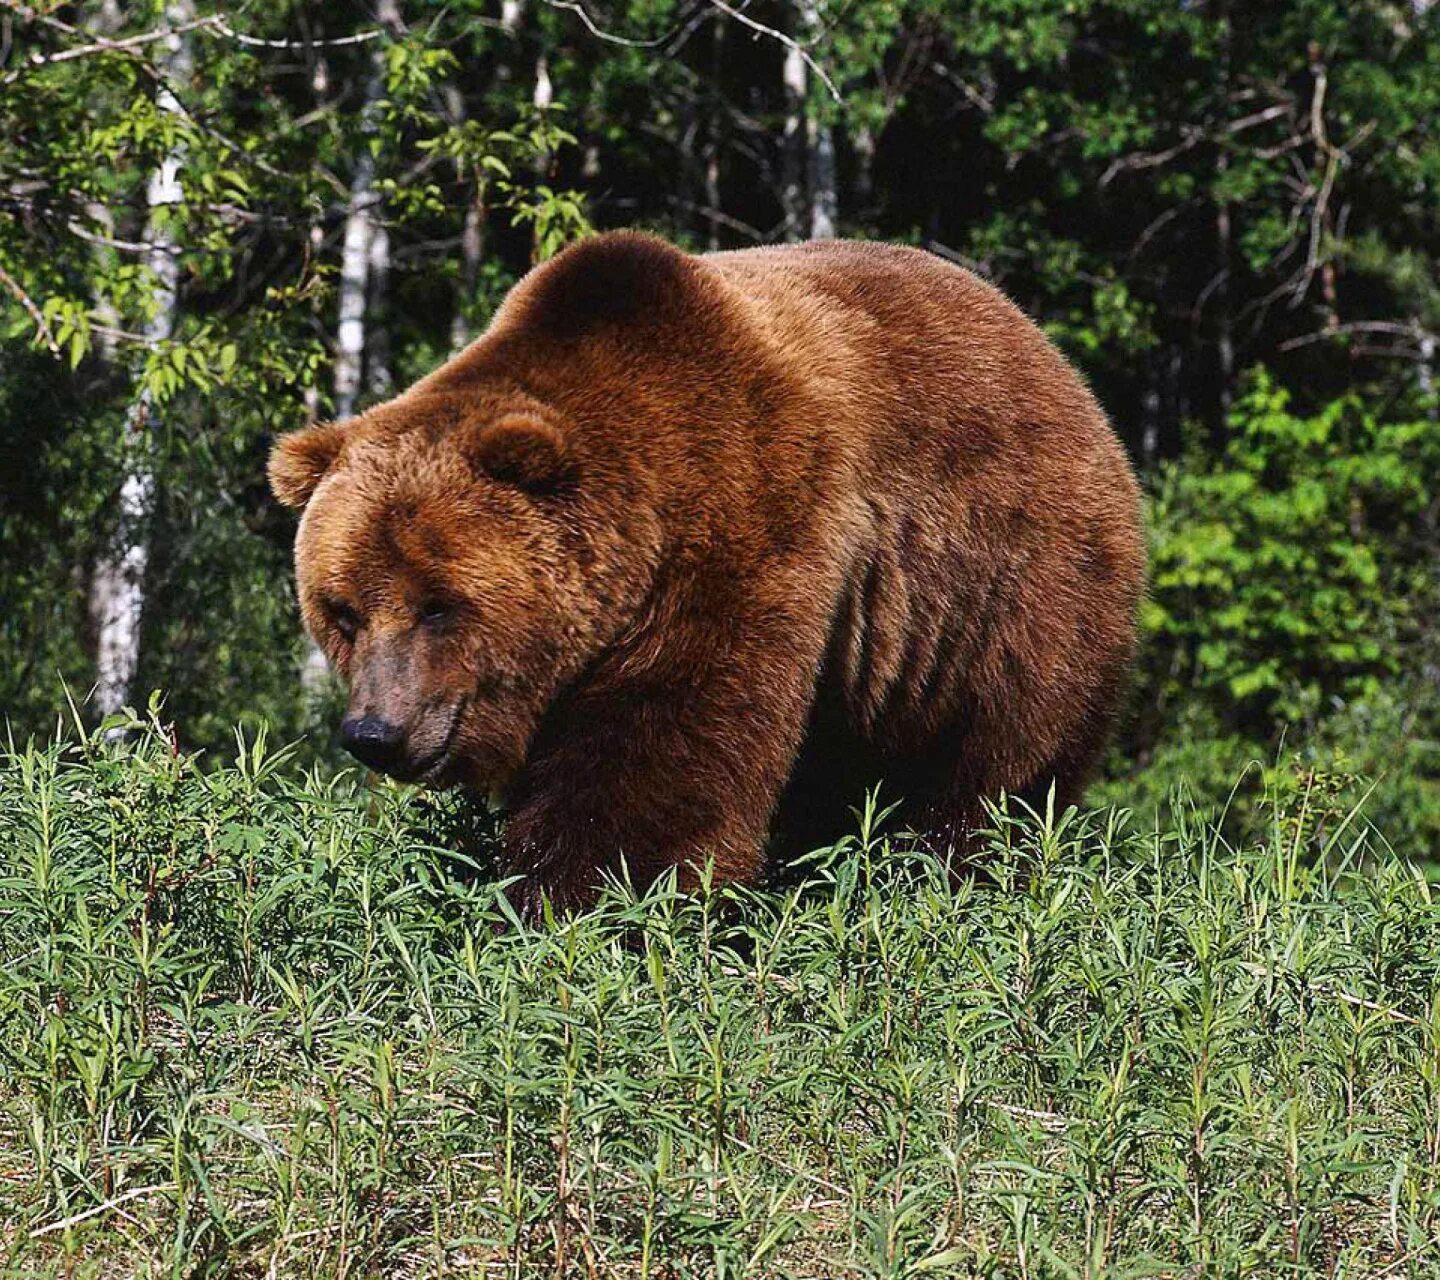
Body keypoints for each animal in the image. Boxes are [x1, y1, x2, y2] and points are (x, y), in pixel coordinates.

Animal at [267, 234, 1146, 915]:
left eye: (439, 606)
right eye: (341, 611)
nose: (375, 732)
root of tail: (1060, 365)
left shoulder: (742, 534)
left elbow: (663, 760)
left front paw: (583, 902)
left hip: (1010, 588)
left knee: (999, 761)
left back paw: (954, 874)